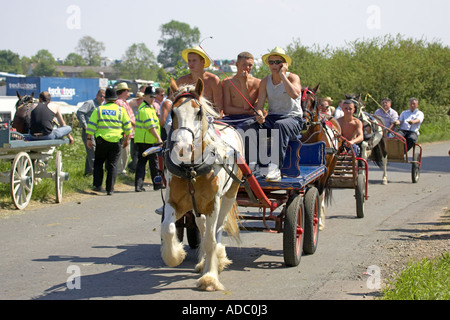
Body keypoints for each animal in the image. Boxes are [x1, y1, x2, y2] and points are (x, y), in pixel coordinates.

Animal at [162, 79, 244, 292]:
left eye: (198, 112)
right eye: (172, 112)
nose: (182, 147)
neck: (191, 168)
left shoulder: (212, 204)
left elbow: (210, 240)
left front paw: (210, 277)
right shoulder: (174, 201)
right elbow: (168, 228)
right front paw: (174, 256)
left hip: (228, 197)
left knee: (217, 229)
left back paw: (217, 260)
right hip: (196, 207)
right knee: (202, 226)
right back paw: (202, 261)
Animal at [300, 85, 342, 230]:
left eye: (313, 102)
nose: (304, 122)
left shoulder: (323, 171)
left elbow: (319, 192)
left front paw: (317, 219)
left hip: (330, 168)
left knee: (321, 190)